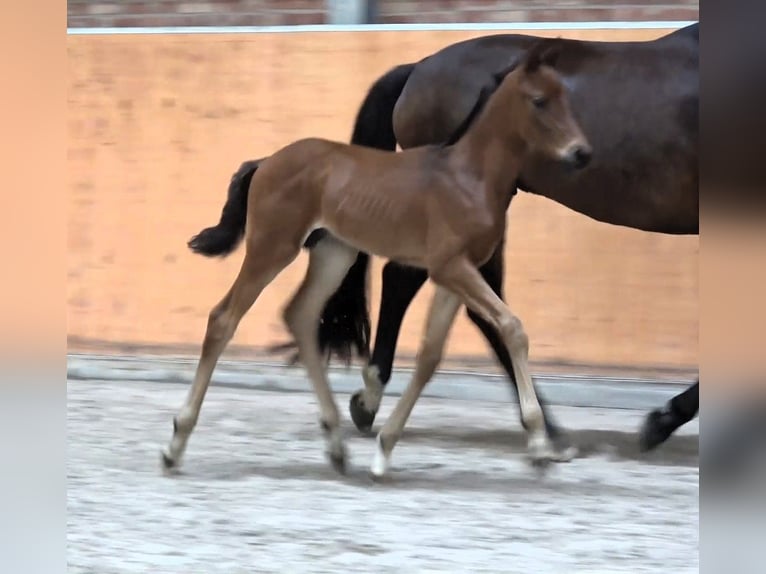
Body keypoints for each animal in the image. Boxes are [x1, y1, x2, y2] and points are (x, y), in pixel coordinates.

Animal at [160, 41, 592, 476]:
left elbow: (430, 356)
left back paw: (336, 445)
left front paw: (384, 448)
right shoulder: (450, 267)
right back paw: (175, 444)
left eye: (566, 97)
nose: (582, 154)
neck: (469, 177)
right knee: (224, 319)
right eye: (539, 100)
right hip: (273, 247)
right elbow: (512, 328)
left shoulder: (455, 276)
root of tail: (265, 162)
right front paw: (540, 443)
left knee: (300, 316)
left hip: (334, 252)